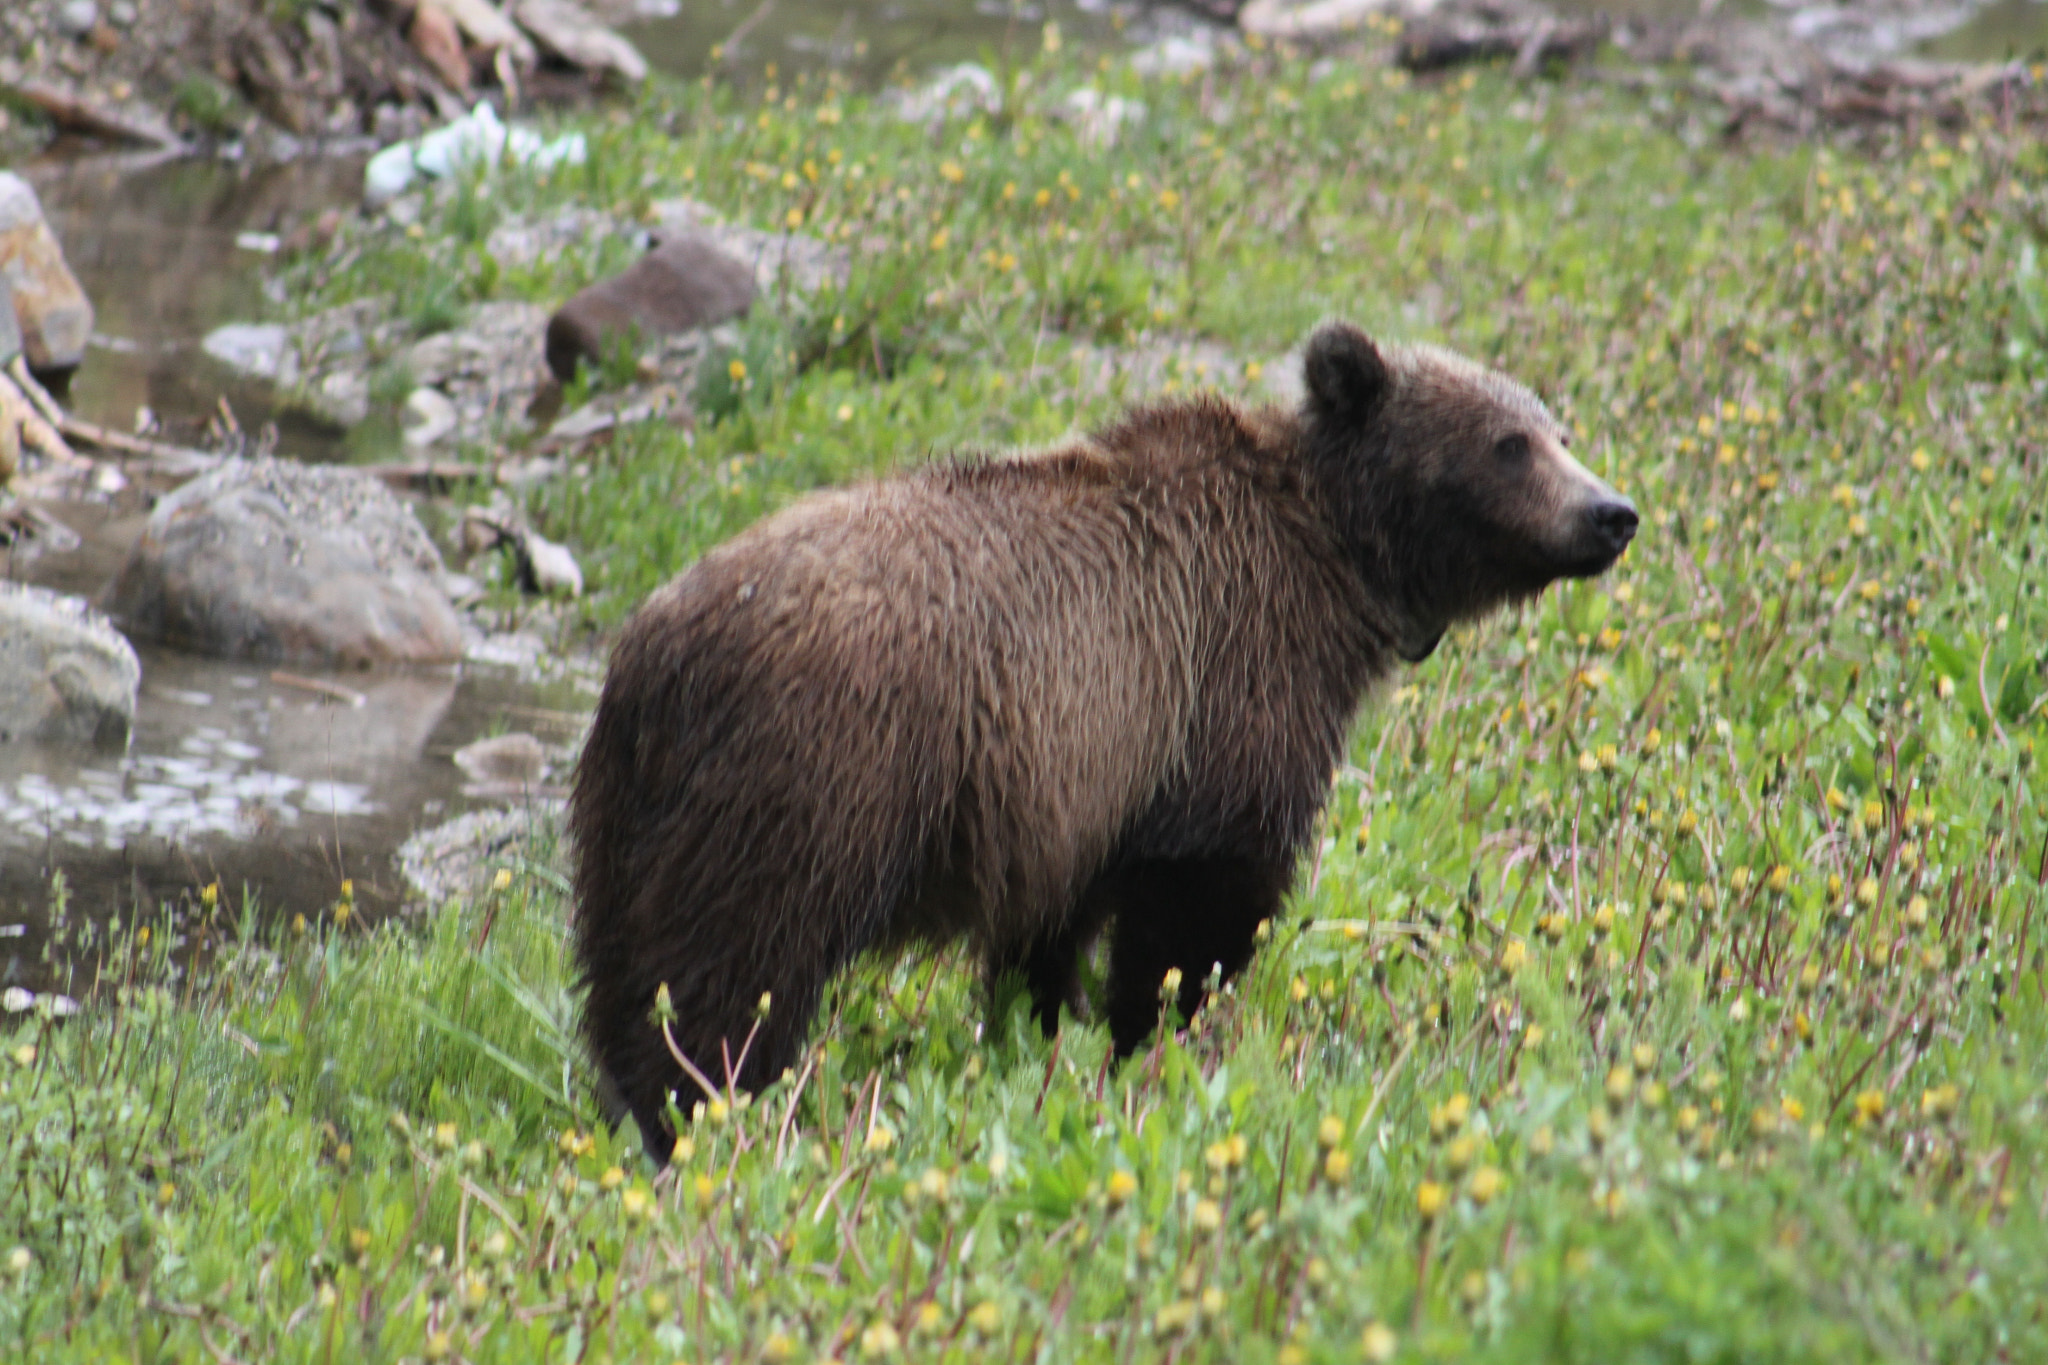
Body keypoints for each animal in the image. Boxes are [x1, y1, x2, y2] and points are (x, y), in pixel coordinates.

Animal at [569, 325, 1638, 1162]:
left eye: (1560, 432)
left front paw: (1047, 1025)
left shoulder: (1074, 779)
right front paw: (1150, 1030)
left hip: (629, 816)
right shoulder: (1221, 681)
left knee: (627, 960)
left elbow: (1053, 927)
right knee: (733, 962)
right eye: (1508, 443)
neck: (1338, 560)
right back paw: (706, 1108)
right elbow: (1206, 895)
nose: (1612, 512)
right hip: (818, 769)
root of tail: (657, 650)